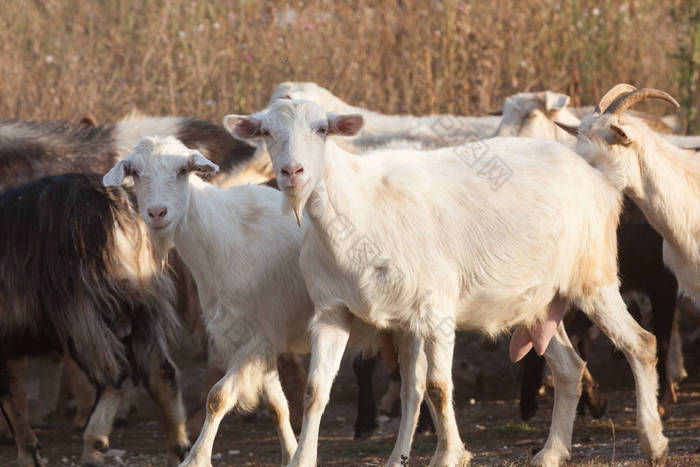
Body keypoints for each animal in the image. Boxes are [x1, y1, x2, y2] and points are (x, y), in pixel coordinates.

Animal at [101, 136, 378, 467]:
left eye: (182, 170)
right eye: (136, 173)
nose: (157, 213)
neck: (224, 237)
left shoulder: (257, 336)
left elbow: (218, 397)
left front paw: (196, 458)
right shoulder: (257, 340)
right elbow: (277, 405)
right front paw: (290, 454)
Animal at [227, 99, 668, 467]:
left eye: (322, 129)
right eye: (265, 132)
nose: (292, 173)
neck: (357, 211)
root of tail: (598, 176)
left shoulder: (435, 308)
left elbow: (437, 386)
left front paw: (449, 456)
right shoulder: (333, 312)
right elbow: (318, 391)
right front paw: (303, 459)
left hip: (593, 278)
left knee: (641, 344)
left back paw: (653, 443)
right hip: (539, 301)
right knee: (570, 368)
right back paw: (551, 453)